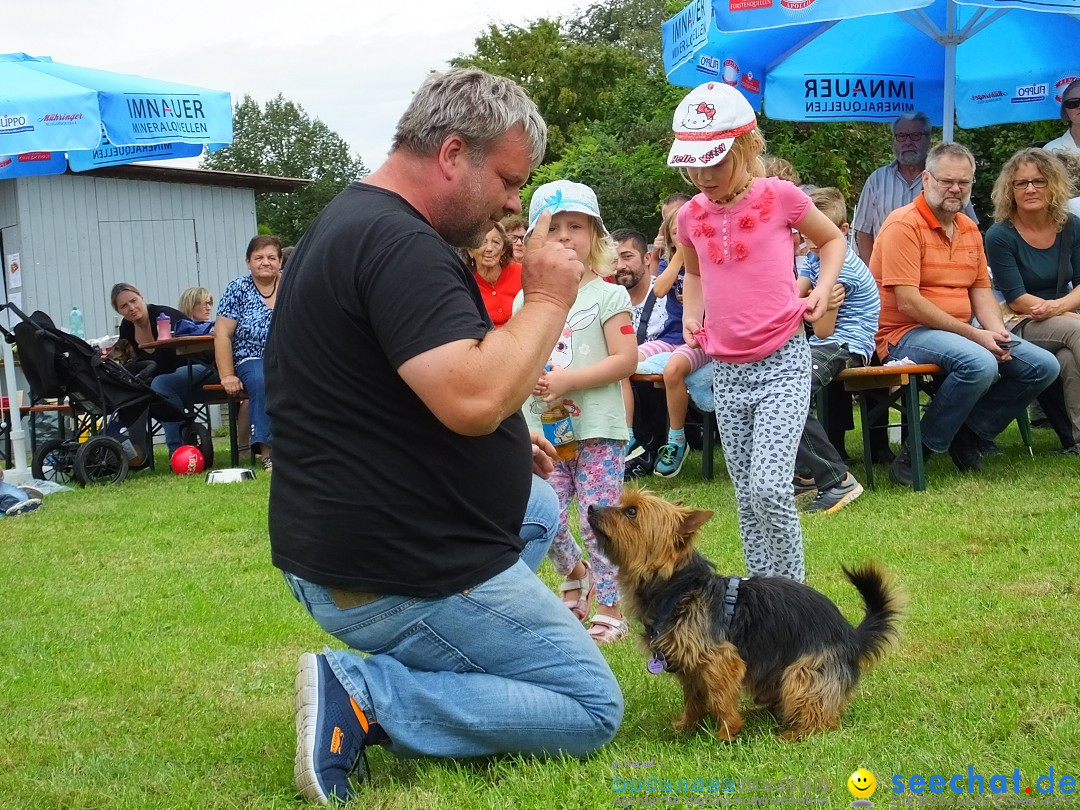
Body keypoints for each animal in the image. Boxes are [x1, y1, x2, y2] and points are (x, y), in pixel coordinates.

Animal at [587, 488, 898, 743]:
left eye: (631, 512)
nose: (591, 507)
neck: (677, 586)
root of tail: (853, 635)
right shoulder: (689, 665)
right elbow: (693, 698)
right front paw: (687, 725)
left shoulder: (720, 660)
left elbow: (720, 698)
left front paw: (727, 732)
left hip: (803, 673)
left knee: (822, 716)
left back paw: (796, 732)